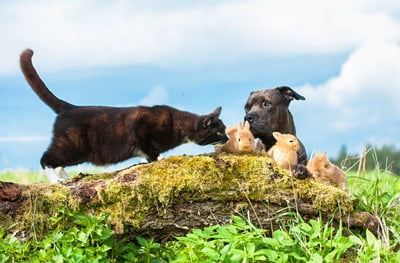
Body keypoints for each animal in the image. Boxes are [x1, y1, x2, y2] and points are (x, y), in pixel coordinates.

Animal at [20, 48, 228, 183]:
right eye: (218, 132)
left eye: (225, 130)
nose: (226, 138)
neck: (177, 124)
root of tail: (68, 107)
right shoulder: (141, 128)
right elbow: (150, 150)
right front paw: (159, 159)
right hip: (73, 146)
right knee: (46, 158)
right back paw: (57, 181)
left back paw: (65, 177)